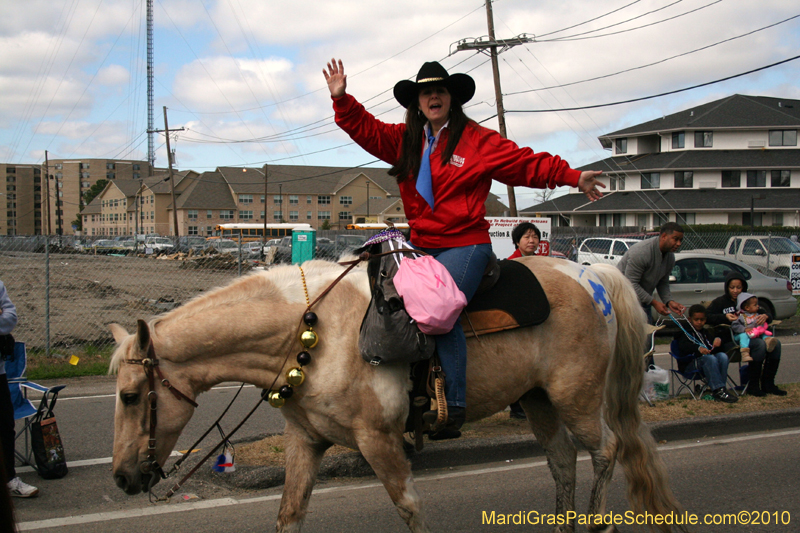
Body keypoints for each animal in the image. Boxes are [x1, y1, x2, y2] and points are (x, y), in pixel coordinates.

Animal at [109, 256, 684, 528]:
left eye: (131, 396)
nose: (121, 478)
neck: (317, 332)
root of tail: (590, 272)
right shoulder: (305, 443)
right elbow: (289, 514)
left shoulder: (380, 442)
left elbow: (409, 509)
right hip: (539, 400)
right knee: (563, 461)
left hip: (577, 398)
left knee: (607, 450)